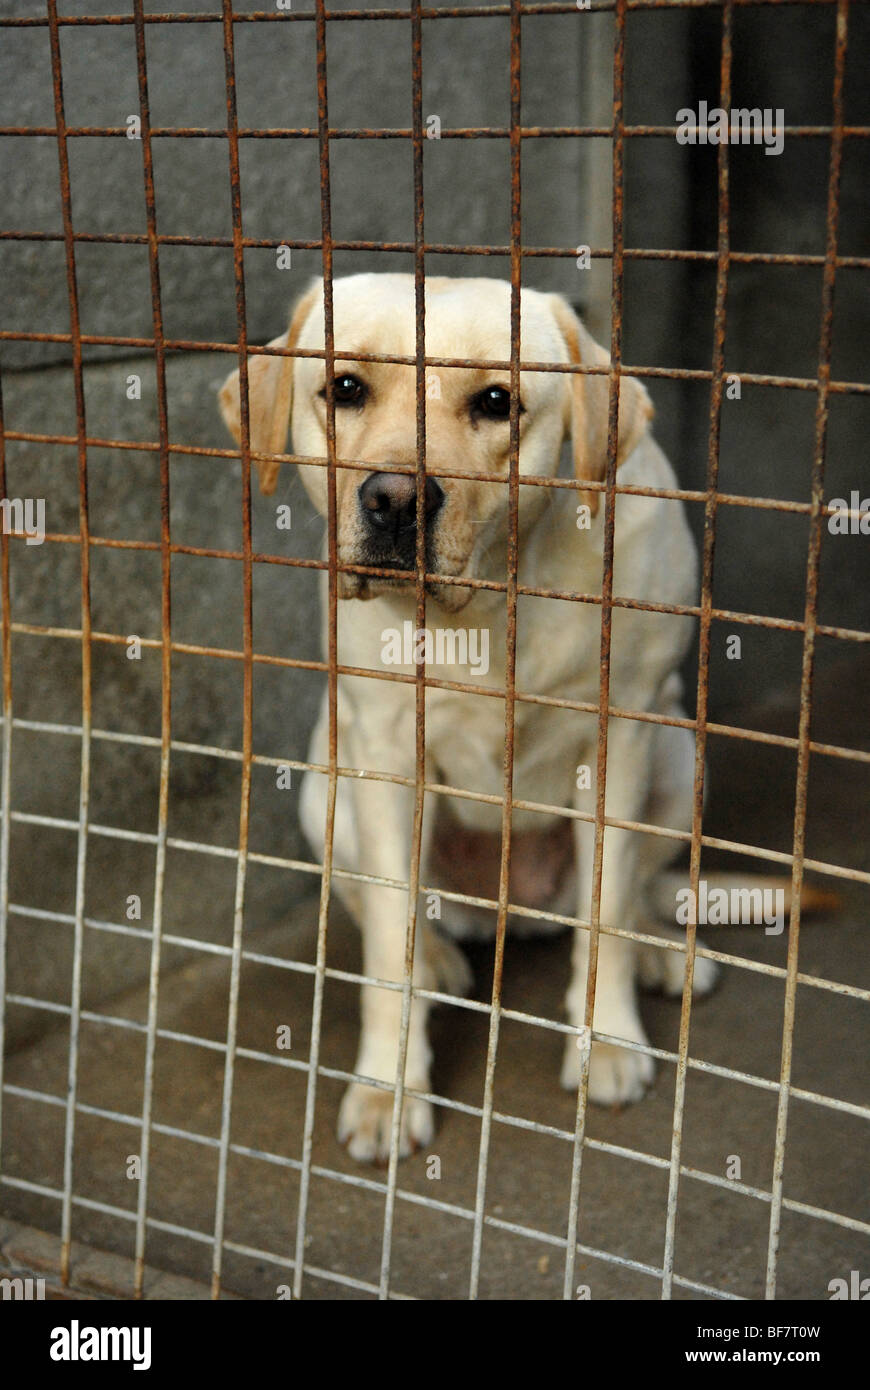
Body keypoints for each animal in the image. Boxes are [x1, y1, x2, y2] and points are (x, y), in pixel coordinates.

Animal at [216, 273, 711, 1162]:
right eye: (347, 389)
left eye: (495, 402)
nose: (394, 500)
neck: (490, 596)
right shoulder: (383, 753)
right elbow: (387, 941)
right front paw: (390, 1086)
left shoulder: (619, 740)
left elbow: (607, 914)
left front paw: (607, 1041)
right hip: (321, 781)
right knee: (395, 908)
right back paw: (440, 961)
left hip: (682, 756)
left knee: (630, 893)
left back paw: (663, 949)